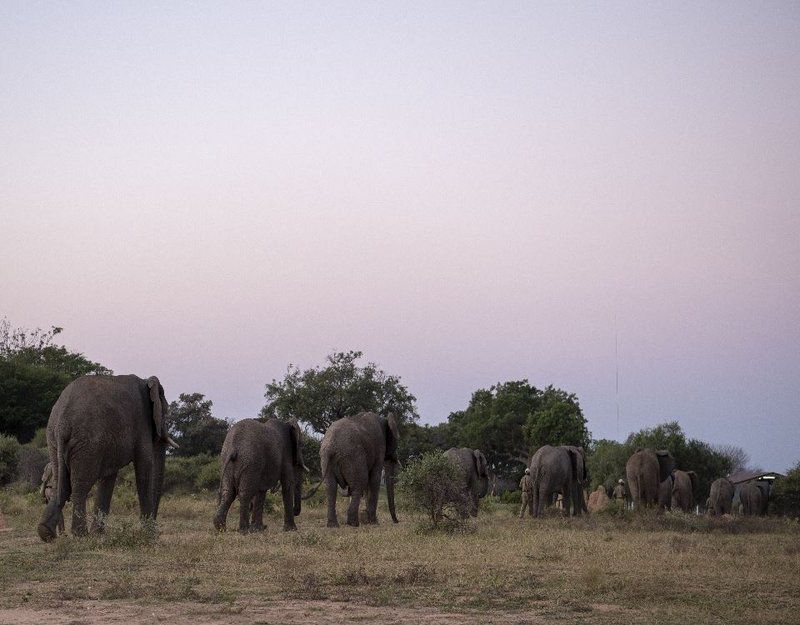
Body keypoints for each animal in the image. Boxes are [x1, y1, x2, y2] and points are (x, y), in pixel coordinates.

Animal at [38, 372, 178, 540]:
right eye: (166, 412)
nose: (156, 533)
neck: (146, 382)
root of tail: (62, 424)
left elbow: (109, 476)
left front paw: (98, 534)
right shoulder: (142, 423)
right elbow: (144, 466)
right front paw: (148, 536)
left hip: (54, 440)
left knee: (61, 483)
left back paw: (46, 533)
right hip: (87, 443)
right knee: (80, 485)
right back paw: (81, 535)